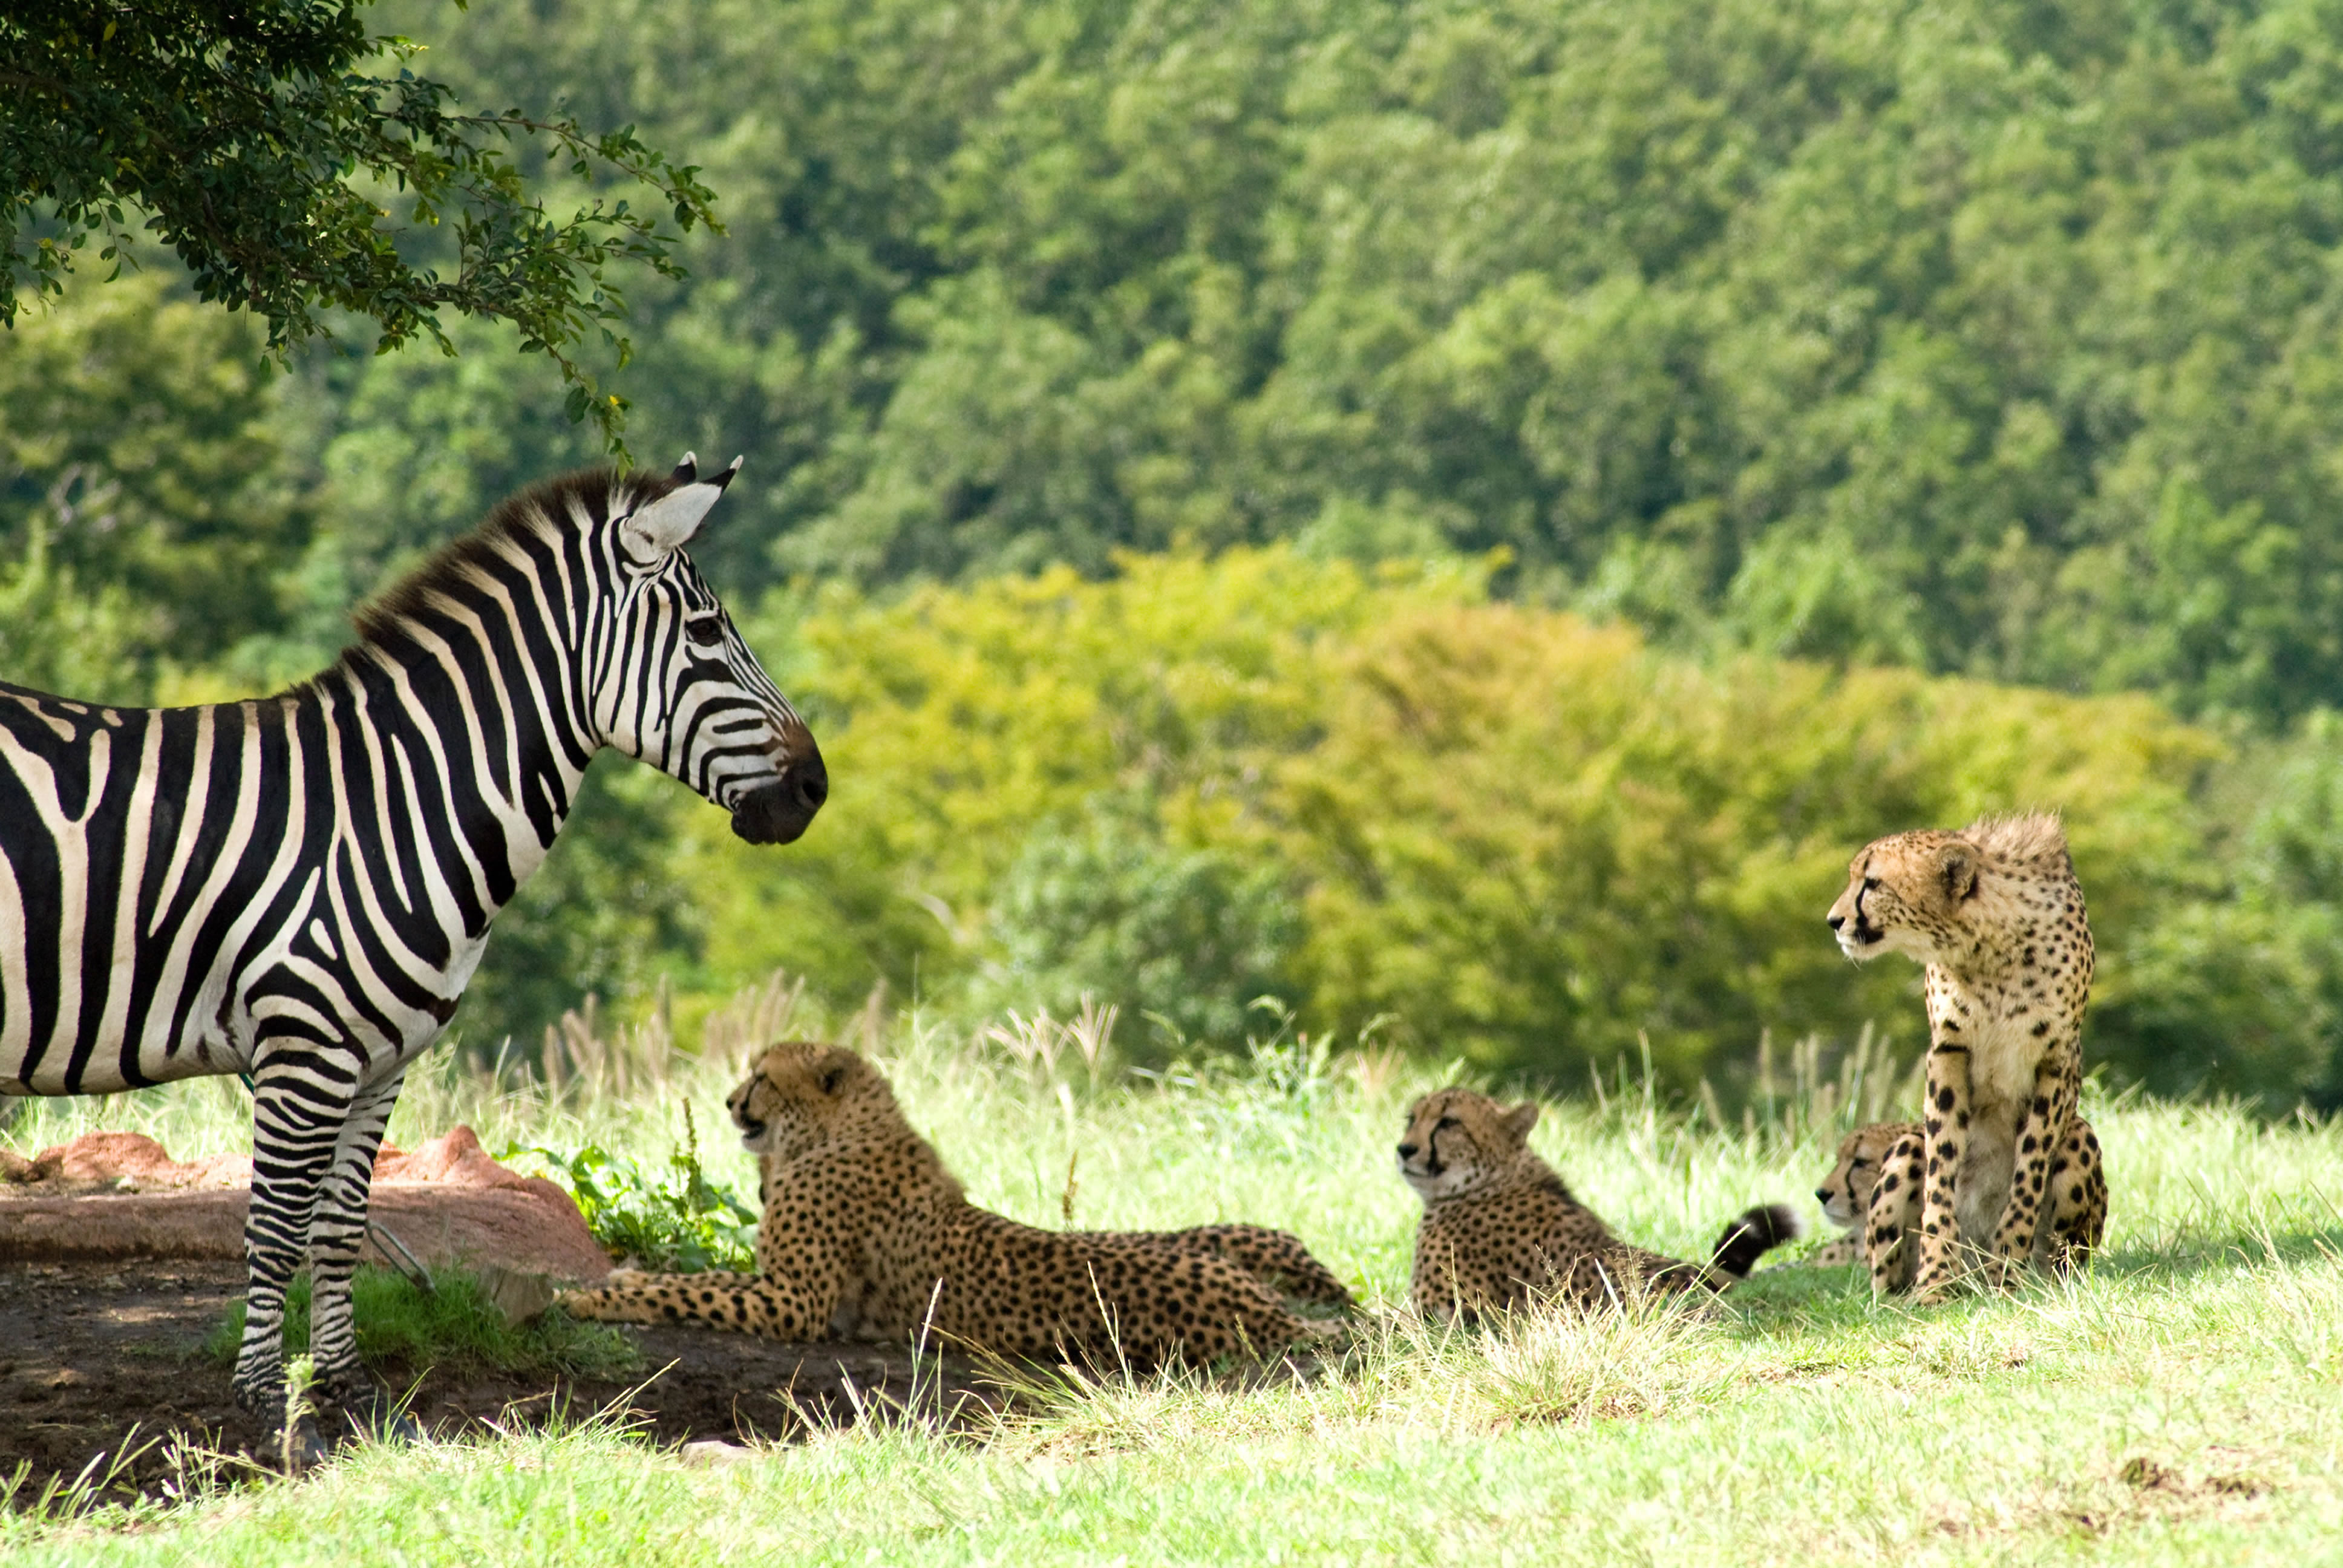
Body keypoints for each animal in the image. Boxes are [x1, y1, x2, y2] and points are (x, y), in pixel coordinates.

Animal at [0, 452, 825, 1434]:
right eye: (705, 633)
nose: (815, 788)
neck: (392, 804)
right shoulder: (304, 1046)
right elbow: (275, 1226)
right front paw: (269, 1407)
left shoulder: (377, 1060)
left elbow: (339, 1227)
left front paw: (349, 1394)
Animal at [553, 1040, 1359, 1359]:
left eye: (762, 1077)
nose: (727, 1102)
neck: (833, 1133)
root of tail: (1268, 1311)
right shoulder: (778, 1283)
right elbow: (698, 1277)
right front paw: (618, 1276)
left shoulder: (797, 1303)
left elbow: (687, 1294)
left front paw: (593, 1299)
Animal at [1818, 815, 2099, 1303]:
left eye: (1872, 883)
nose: (1835, 921)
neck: (1991, 947)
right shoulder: (1948, 1053)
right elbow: (1941, 1169)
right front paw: (1935, 1278)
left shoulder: (2058, 1062)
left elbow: (2028, 1173)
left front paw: (2006, 1269)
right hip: (1903, 1151)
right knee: (1882, 1282)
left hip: (2080, 1140)